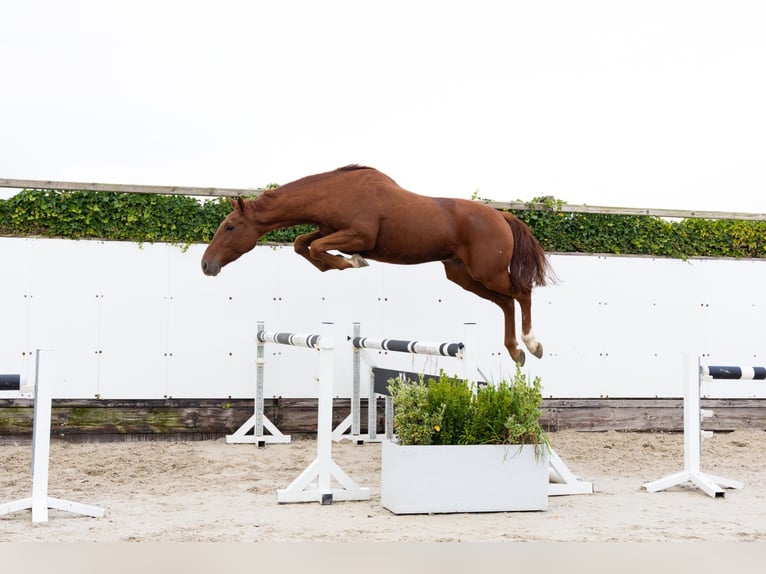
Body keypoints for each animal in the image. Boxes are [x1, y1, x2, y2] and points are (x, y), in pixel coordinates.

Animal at [201, 165, 551, 365]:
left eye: (230, 226)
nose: (206, 264)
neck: (333, 193)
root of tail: (501, 216)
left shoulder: (359, 236)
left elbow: (315, 246)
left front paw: (352, 263)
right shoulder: (329, 231)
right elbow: (304, 244)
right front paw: (339, 264)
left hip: (487, 273)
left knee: (522, 293)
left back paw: (532, 344)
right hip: (465, 276)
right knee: (506, 303)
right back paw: (515, 351)